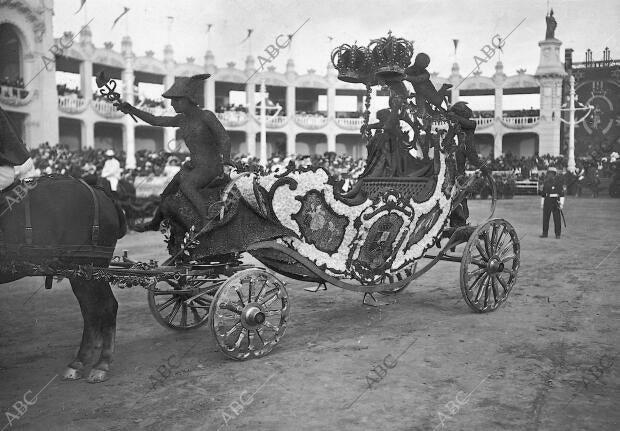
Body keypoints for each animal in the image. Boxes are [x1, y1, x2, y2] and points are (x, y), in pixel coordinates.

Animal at [0, 176, 127, 384]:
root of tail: (100, 192)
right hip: (80, 273)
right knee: (91, 310)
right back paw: (80, 361)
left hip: (89, 268)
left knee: (106, 306)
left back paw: (102, 363)